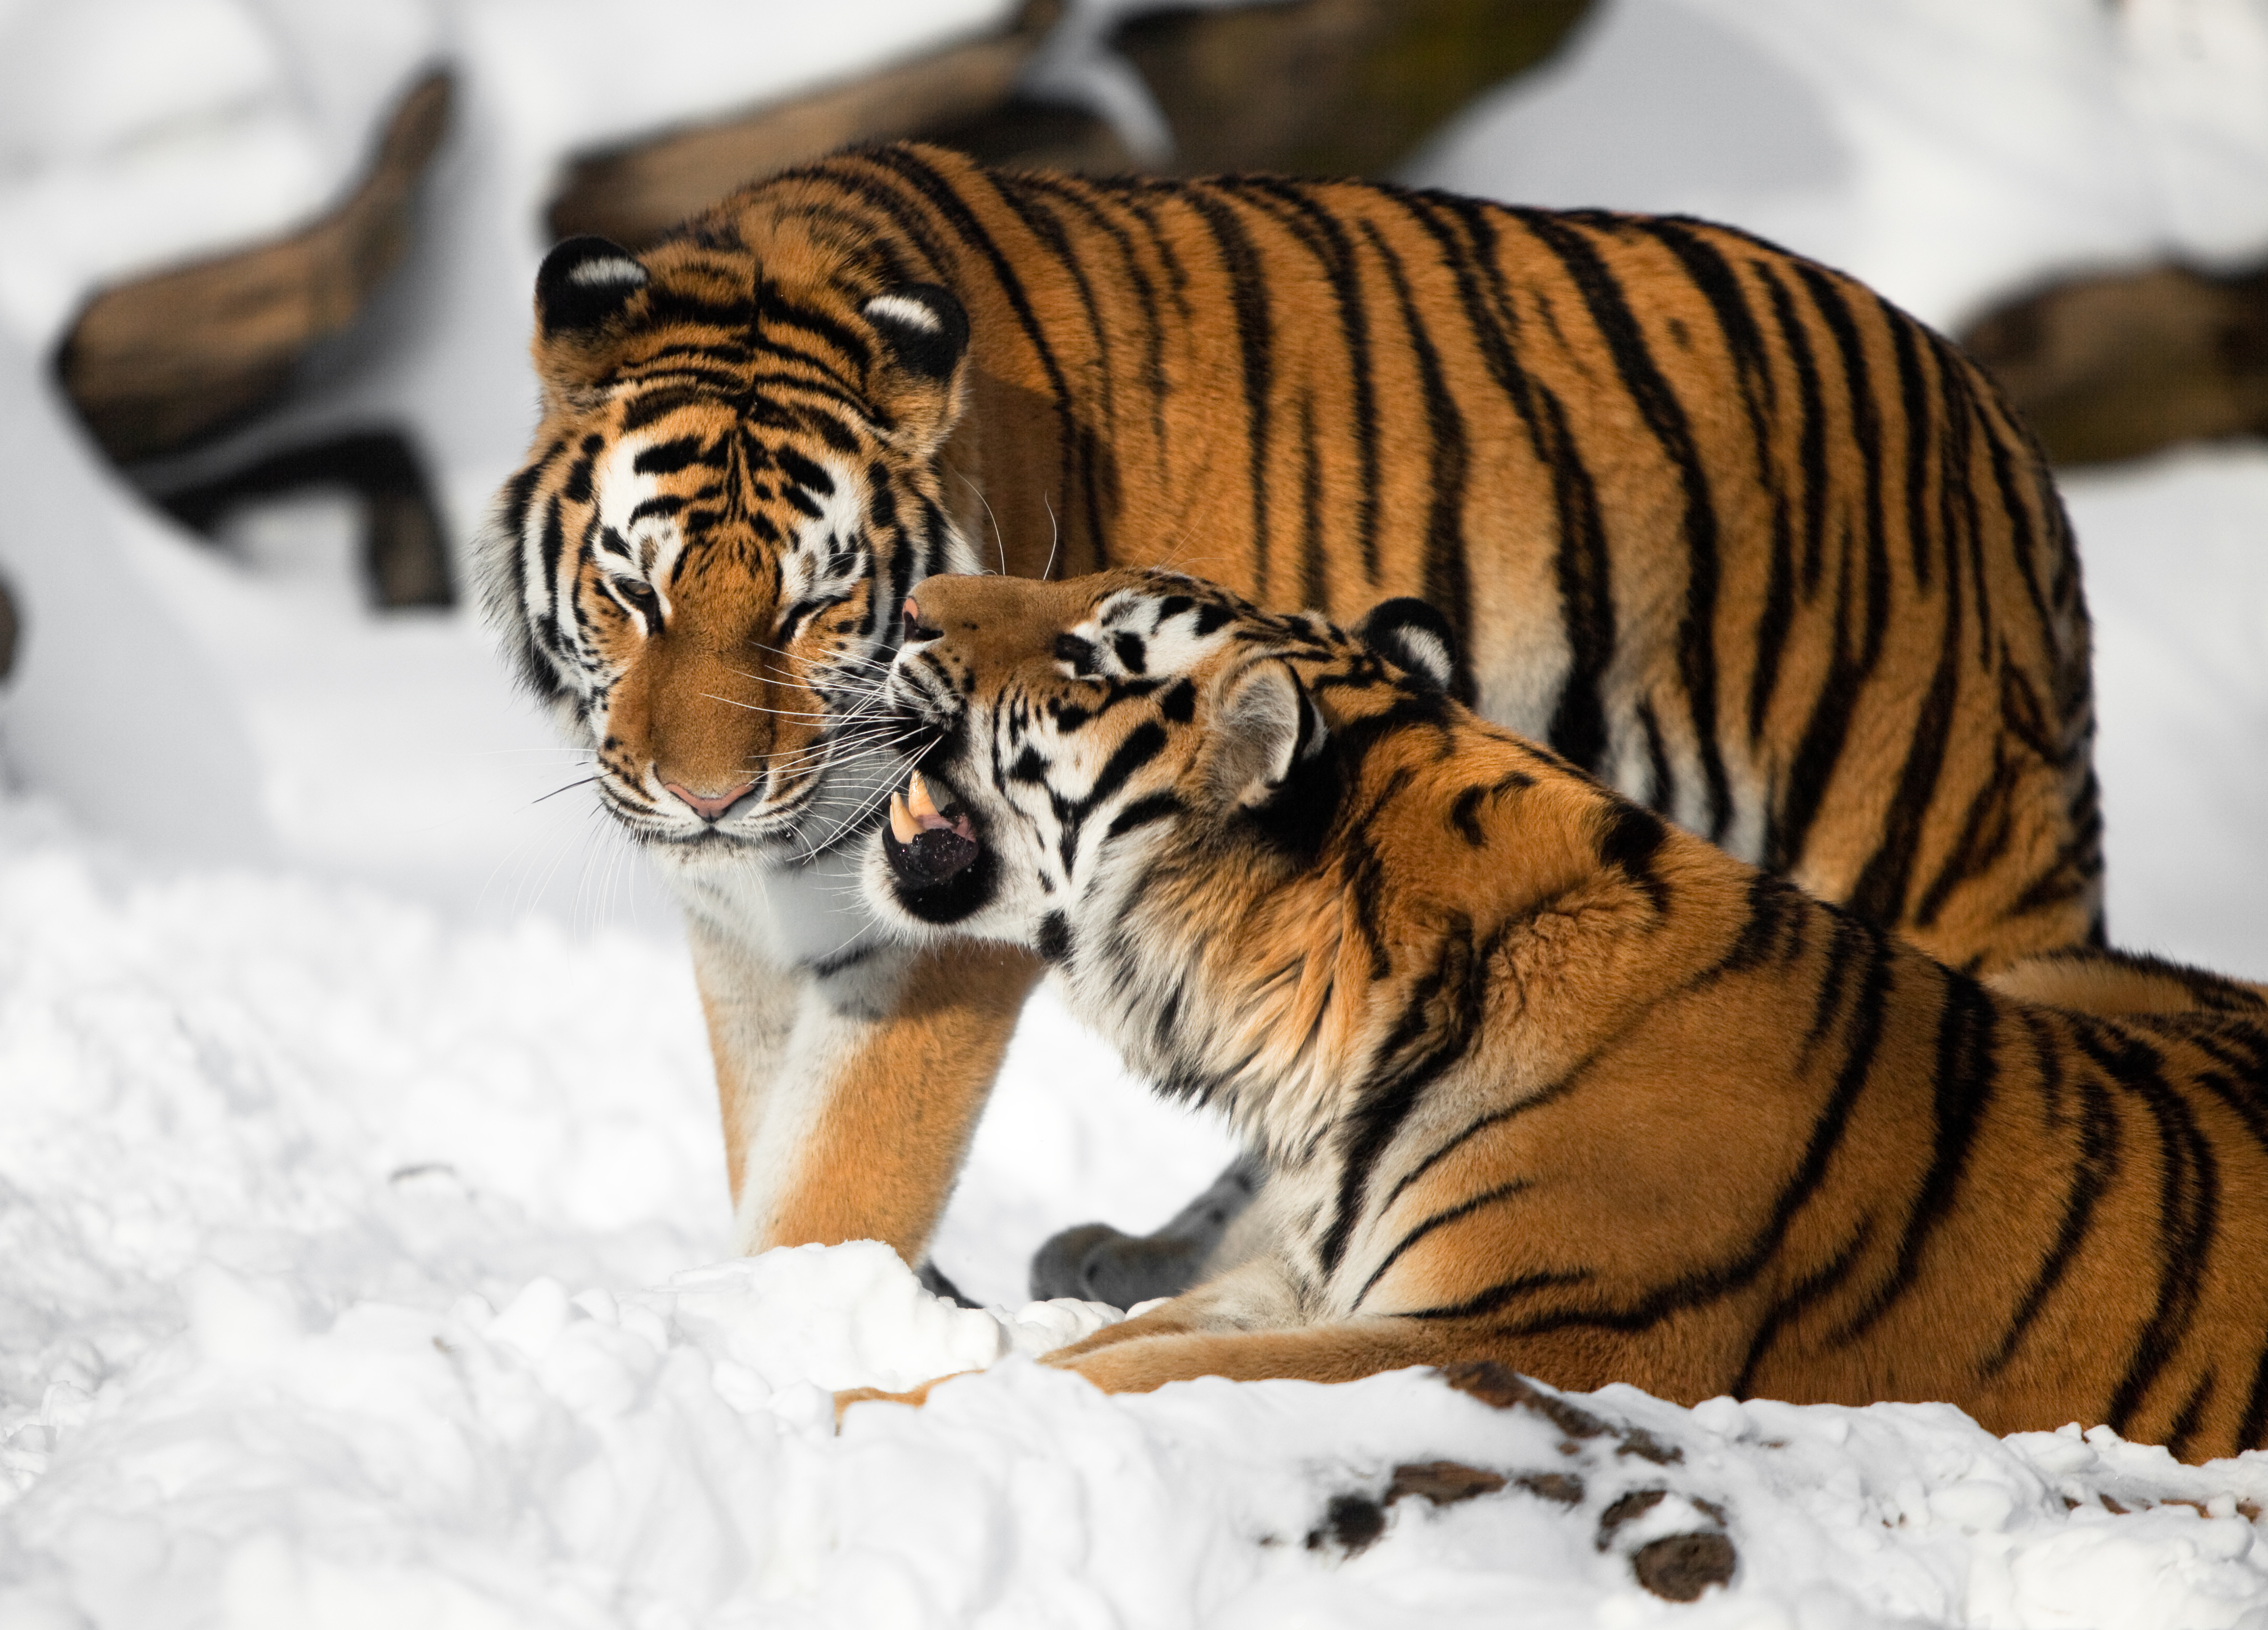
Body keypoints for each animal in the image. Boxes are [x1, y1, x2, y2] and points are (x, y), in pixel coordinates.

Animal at [478, 140, 2086, 1296]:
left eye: (814, 606)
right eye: (632, 589)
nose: (707, 798)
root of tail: (1993, 419)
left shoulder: (938, 937)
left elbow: (834, 1183)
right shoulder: (748, 935)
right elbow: (768, 1139)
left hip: (1922, 847)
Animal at [848, 566, 2268, 1460]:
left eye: (1093, 653)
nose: (909, 600)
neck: (1319, 1038)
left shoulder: (1529, 1328)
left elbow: (1148, 1368)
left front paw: (871, 1412)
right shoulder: (1306, 1276)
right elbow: (1128, 1342)